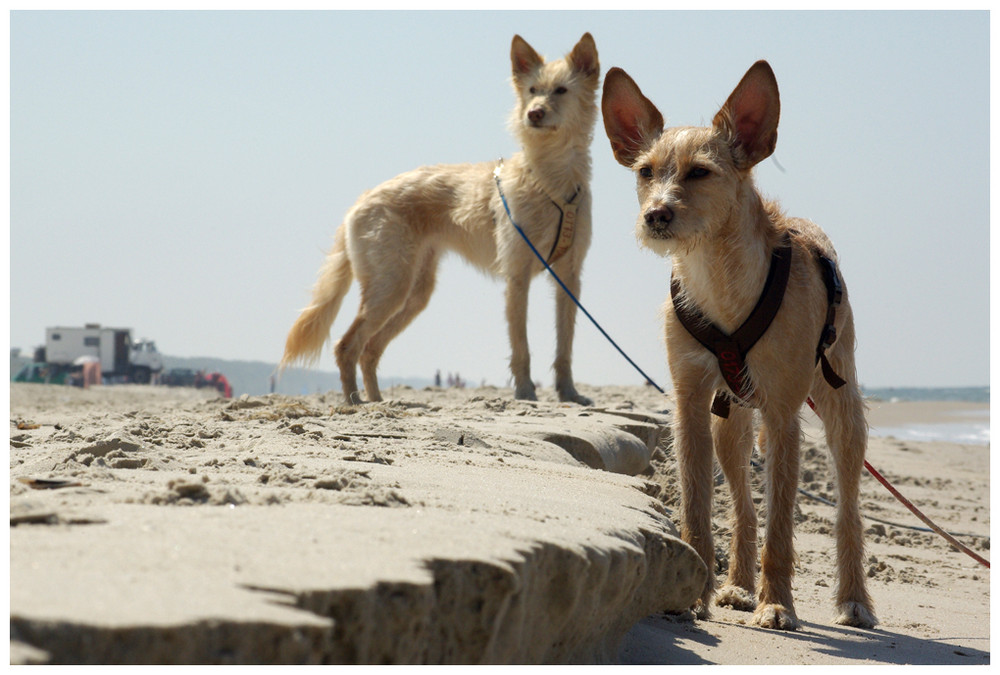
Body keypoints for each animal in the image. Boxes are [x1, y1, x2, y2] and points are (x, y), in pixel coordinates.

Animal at [278, 33, 596, 406]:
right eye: (533, 90)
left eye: (561, 90)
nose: (534, 113)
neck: (549, 179)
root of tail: (362, 199)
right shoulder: (517, 275)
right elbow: (521, 345)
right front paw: (525, 391)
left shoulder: (568, 278)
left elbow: (565, 346)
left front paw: (569, 393)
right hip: (391, 285)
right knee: (347, 345)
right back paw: (355, 402)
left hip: (414, 292)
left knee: (369, 349)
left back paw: (377, 401)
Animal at [600, 60, 876, 632]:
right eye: (645, 171)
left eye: (700, 173)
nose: (656, 215)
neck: (720, 280)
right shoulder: (689, 404)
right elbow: (697, 507)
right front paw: (694, 593)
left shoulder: (783, 413)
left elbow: (782, 527)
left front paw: (778, 604)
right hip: (730, 425)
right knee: (745, 510)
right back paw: (738, 587)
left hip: (840, 409)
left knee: (848, 511)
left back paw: (853, 598)